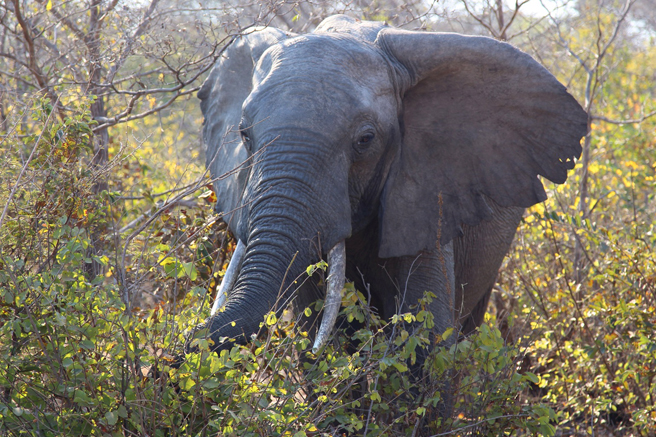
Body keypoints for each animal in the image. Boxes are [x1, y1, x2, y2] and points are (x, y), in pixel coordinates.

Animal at [187, 15, 588, 376]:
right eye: (244, 135)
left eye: (365, 140)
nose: (189, 341)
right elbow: (316, 338)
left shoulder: (427, 192)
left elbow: (425, 346)